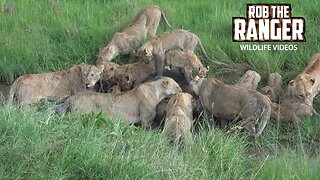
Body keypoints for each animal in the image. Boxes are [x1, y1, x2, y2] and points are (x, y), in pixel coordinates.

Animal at [53, 77, 181, 126]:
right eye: (177, 86)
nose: (182, 90)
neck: (157, 92)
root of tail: (70, 99)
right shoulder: (146, 117)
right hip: (80, 113)